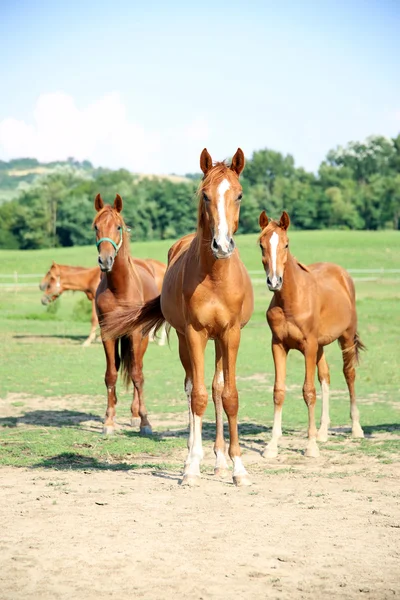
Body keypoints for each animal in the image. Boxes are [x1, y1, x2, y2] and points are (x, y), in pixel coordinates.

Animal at [94, 195, 161, 434]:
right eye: (96, 226)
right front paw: (108, 421)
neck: (119, 288)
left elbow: (136, 375)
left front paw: (145, 421)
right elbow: (110, 375)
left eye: (118, 226)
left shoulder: (134, 334)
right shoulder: (107, 333)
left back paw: (135, 415)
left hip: (142, 338)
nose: (105, 260)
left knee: (136, 369)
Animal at [103, 150, 253, 488]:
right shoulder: (195, 333)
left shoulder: (232, 334)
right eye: (206, 195)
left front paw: (237, 468)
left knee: (216, 388)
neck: (216, 277)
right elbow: (197, 396)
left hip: (219, 341)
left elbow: (229, 396)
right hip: (187, 340)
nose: (221, 245)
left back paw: (220, 460)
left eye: (238, 195)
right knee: (191, 387)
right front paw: (191, 467)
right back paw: (194, 452)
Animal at [256, 209, 366, 458]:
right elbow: (279, 391)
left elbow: (308, 392)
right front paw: (272, 446)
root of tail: (341, 273)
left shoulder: (308, 346)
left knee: (349, 374)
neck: (291, 300)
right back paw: (323, 432)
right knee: (325, 376)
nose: (274, 281)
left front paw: (311, 446)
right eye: (261, 245)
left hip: (345, 337)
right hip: (321, 346)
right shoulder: (278, 345)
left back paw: (356, 428)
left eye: (286, 244)